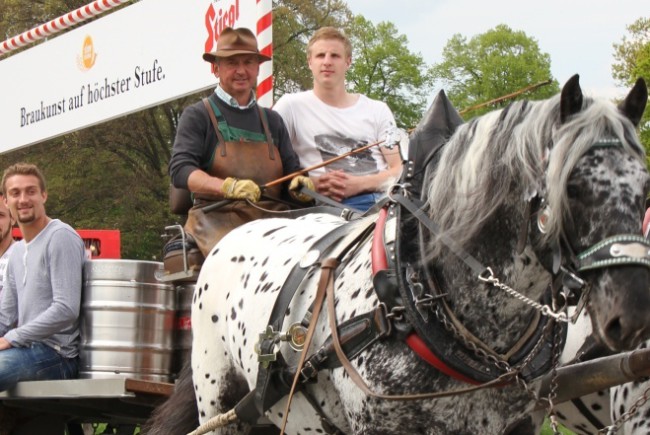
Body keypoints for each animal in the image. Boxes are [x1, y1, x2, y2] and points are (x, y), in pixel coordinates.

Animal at [144, 75, 648, 435]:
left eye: (645, 189)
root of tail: (234, 234)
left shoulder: (517, 423)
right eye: (571, 187)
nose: (634, 313)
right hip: (217, 396)